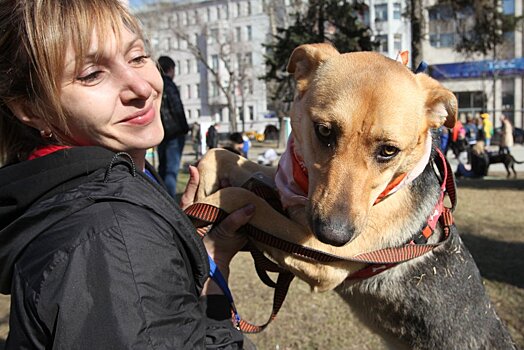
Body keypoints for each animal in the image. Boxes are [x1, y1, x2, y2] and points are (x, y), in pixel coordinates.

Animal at [193, 44, 516, 350]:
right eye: (324, 131)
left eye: (389, 150)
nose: (334, 235)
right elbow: (221, 156)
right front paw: (203, 185)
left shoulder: (322, 259)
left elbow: (243, 197)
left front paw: (200, 210)